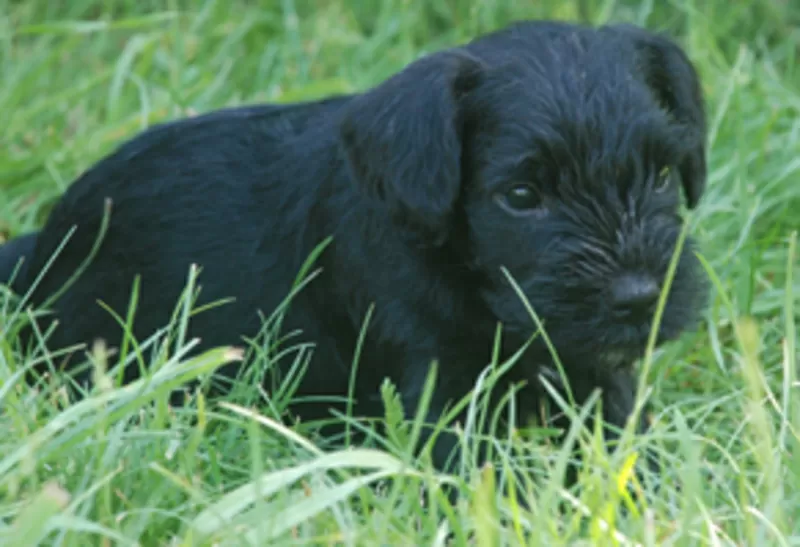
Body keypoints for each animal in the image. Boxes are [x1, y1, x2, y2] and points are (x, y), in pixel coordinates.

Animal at [0, 20, 708, 492]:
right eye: (521, 196)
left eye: (661, 175)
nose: (640, 297)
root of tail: (43, 246)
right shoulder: (433, 384)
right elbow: (468, 470)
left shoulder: (589, 366)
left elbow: (624, 429)